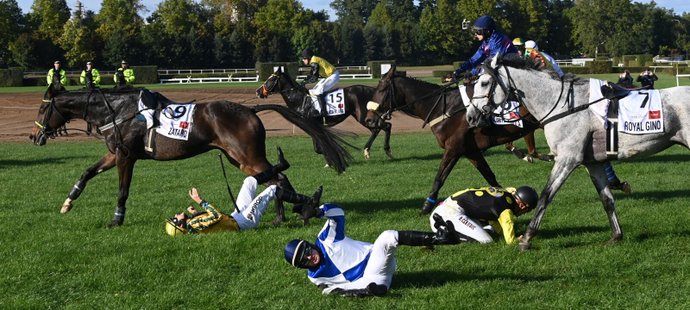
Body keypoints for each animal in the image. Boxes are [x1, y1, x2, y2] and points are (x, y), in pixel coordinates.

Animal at [28, 87, 350, 225]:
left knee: (278, 175)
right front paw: (67, 202)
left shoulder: (125, 157)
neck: (119, 111)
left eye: (43, 108)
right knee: (275, 178)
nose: (33, 136)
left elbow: (122, 191)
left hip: (246, 157)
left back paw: (297, 210)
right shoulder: (115, 154)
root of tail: (249, 110)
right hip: (237, 158)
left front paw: (117, 219)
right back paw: (292, 211)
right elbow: (86, 173)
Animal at [255, 68, 392, 160]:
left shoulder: (313, 123)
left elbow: (318, 147)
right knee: (378, 129)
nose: (258, 91)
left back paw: (383, 151)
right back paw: (370, 151)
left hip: (363, 116)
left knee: (384, 127)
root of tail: (372, 90)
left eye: (271, 79)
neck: (301, 100)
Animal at [362, 65, 540, 214]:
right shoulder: (470, 151)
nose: (369, 119)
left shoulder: (453, 148)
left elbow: (439, 178)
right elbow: (490, 176)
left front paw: (426, 205)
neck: (445, 109)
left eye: (382, 89)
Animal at [464, 55, 688, 249]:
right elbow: (607, 200)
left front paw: (527, 238)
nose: (471, 117)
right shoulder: (593, 163)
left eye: (484, 83)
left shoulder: (567, 159)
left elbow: (545, 196)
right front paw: (616, 235)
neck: (565, 106)